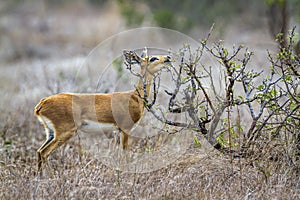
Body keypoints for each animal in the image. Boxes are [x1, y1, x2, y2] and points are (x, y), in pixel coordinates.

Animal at [34, 49, 171, 171]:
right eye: (153, 58)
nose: (168, 58)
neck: (135, 96)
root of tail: (42, 103)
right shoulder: (125, 128)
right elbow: (124, 153)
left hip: (51, 133)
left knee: (39, 152)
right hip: (65, 132)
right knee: (44, 153)